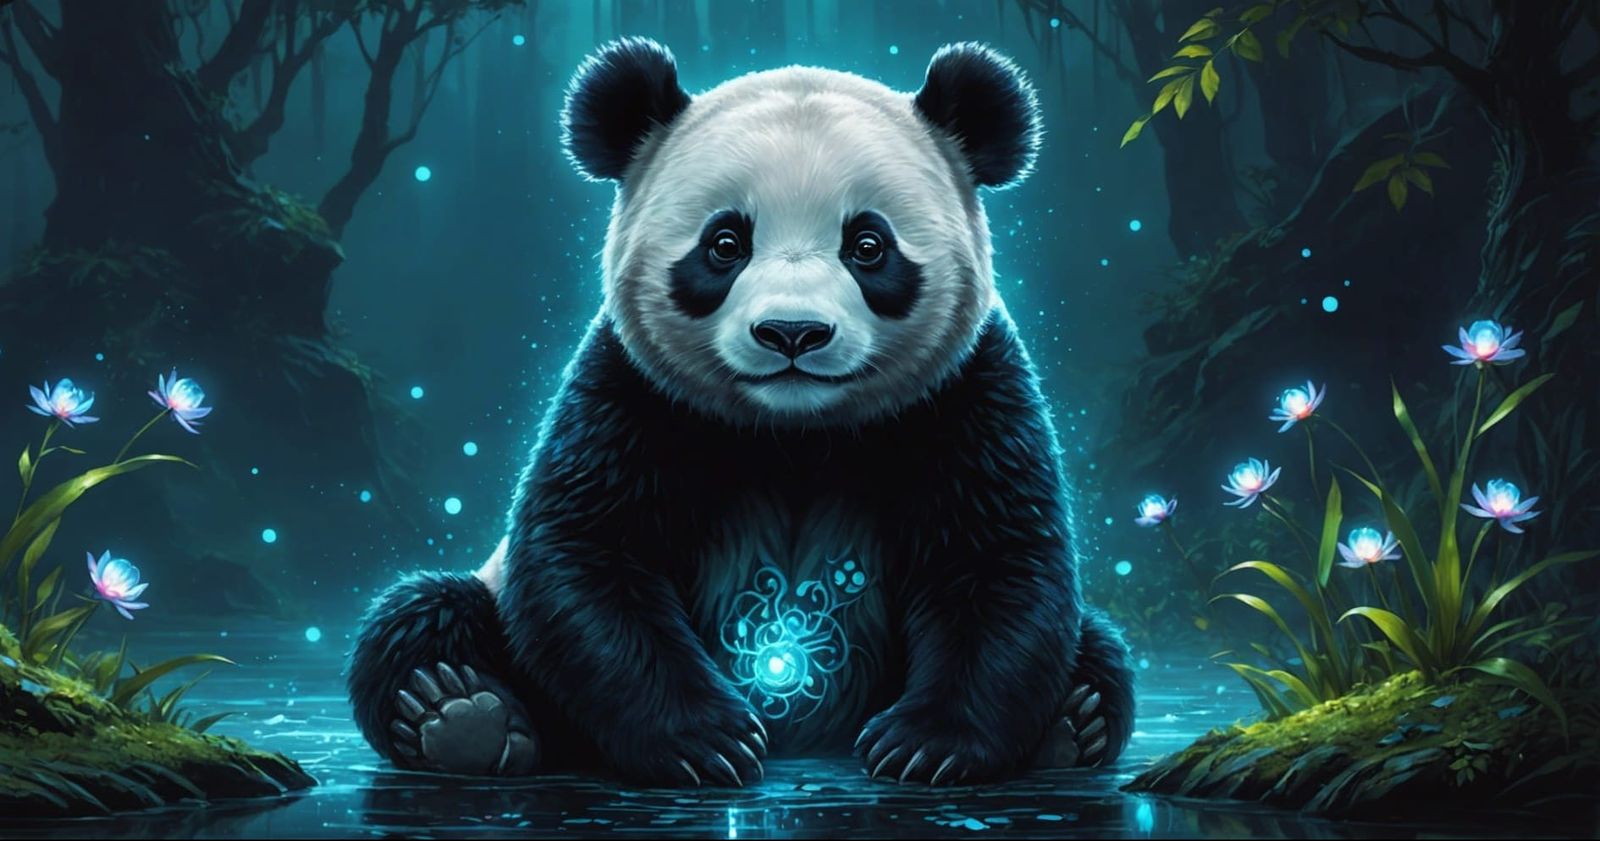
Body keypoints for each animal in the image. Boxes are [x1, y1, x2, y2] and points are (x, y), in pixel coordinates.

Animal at [347, 37, 1135, 786]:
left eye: (868, 244)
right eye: (725, 243)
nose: (792, 332)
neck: (796, 430)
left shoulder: (965, 394)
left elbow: (996, 559)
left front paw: (925, 745)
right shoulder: (631, 393)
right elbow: (585, 553)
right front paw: (708, 741)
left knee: (1100, 646)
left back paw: (1074, 723)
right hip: (488, 594)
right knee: (422, 614)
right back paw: (457, 714)